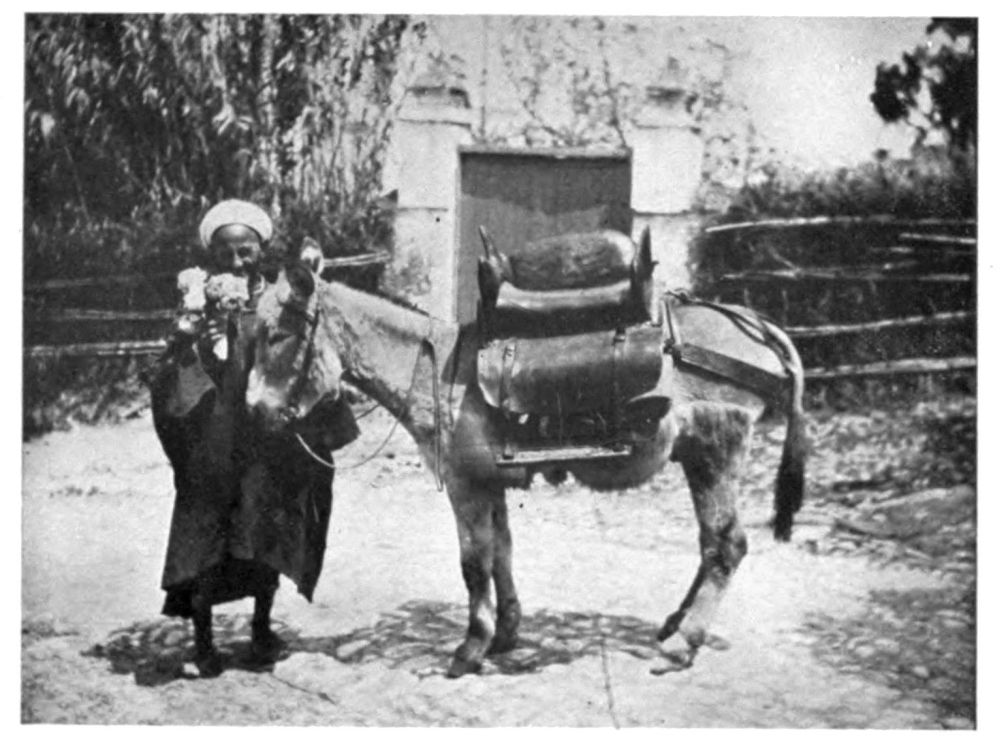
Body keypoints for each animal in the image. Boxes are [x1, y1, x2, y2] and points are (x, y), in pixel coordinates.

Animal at [245, 238, 807, 677]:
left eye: (278, 335)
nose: (255, 411)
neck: (440, 372)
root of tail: (752, 324)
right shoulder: (491, 482)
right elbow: (502, 554)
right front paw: (505, 634)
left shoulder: (466, 486)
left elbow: (474, 565)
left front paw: (470, 648)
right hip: (697, 457)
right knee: (710, 545)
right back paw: (673, 625)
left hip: (716, 450)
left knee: (726, 546)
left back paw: (684, 644)